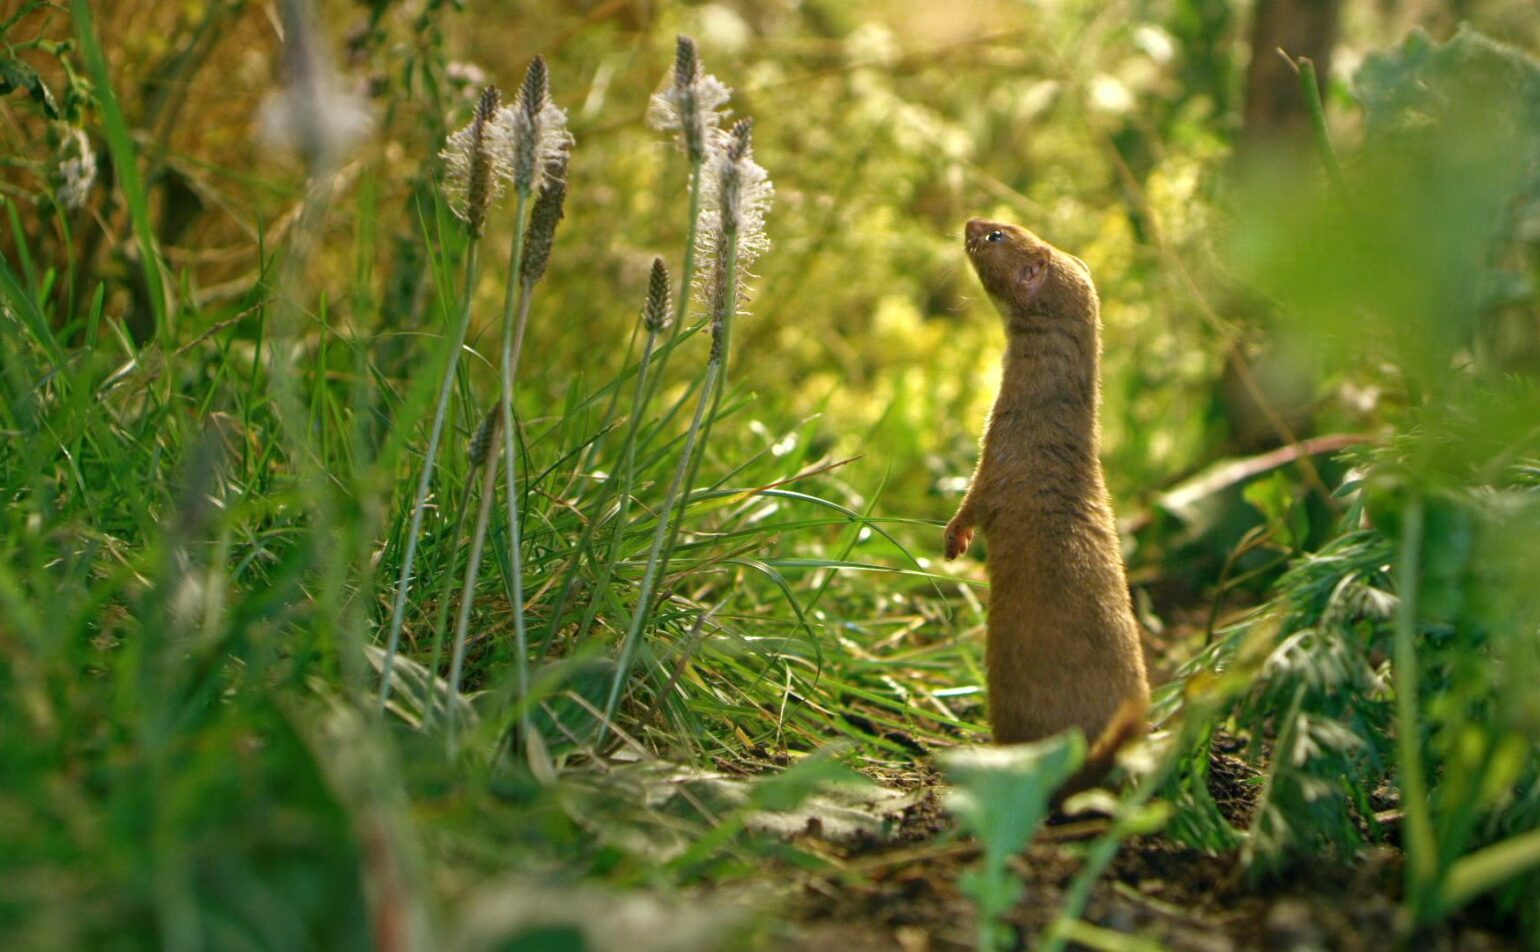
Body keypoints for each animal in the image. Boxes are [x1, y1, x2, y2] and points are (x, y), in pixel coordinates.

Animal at [942, 218, 1151, 782]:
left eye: (998, 235)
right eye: (1021, 227)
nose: (969, 221)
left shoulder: (997, 457)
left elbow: (972, 503)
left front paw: (953, 541)